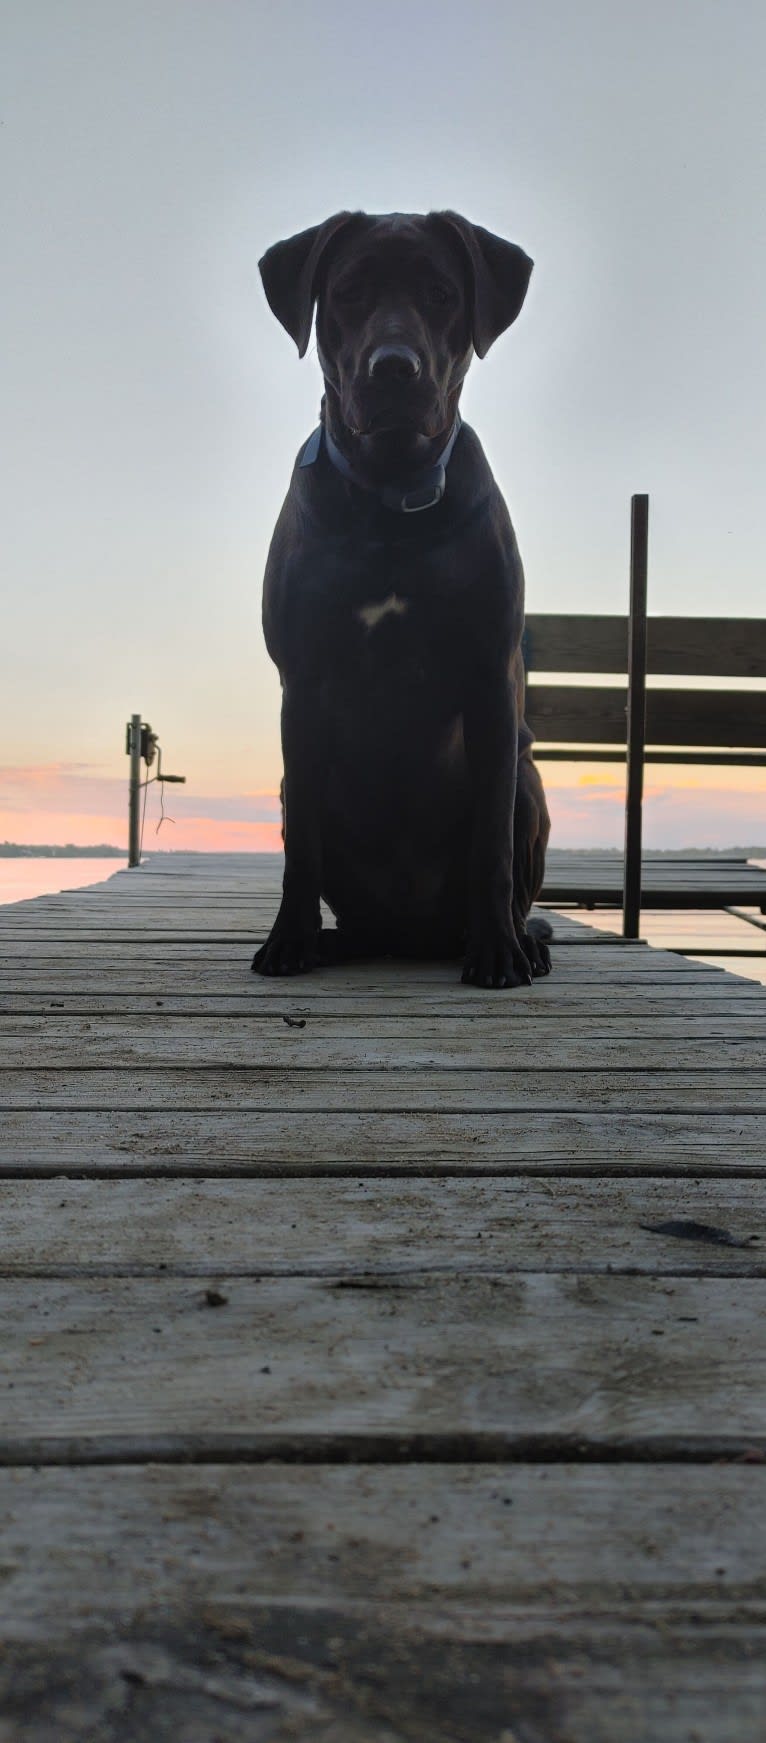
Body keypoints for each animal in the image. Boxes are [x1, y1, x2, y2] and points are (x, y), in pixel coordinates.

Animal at [253, 210, 551, 990]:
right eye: (349, 292)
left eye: (442, 295)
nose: (395, 367)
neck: (390, 497)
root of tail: (410, 933)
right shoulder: (302, 684)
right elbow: (301, 852)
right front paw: (289, 941)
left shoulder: (490, 678)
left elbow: (490, 846)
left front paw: (498, 954)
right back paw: (332, 941)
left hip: (528, 778)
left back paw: (521, 941)